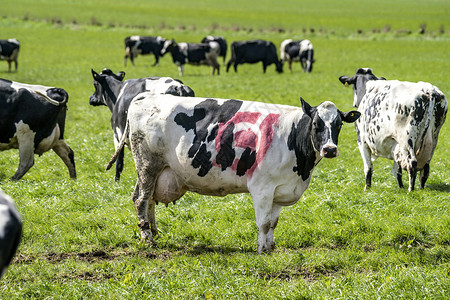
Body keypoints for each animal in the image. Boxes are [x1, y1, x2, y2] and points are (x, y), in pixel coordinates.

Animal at [107, 94, 360, 253]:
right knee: (140, 199)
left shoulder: (280, 189)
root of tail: (144, 97)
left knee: (148, 198)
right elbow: (263, 223)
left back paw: (155, 232)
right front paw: (261, 250)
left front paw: (271, 247)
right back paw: (147, 238)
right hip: (147, 164)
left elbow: (273, 223)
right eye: (316, 124)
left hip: (156, 170)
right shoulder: (262, 188)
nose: (330, 149)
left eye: (339, 124)